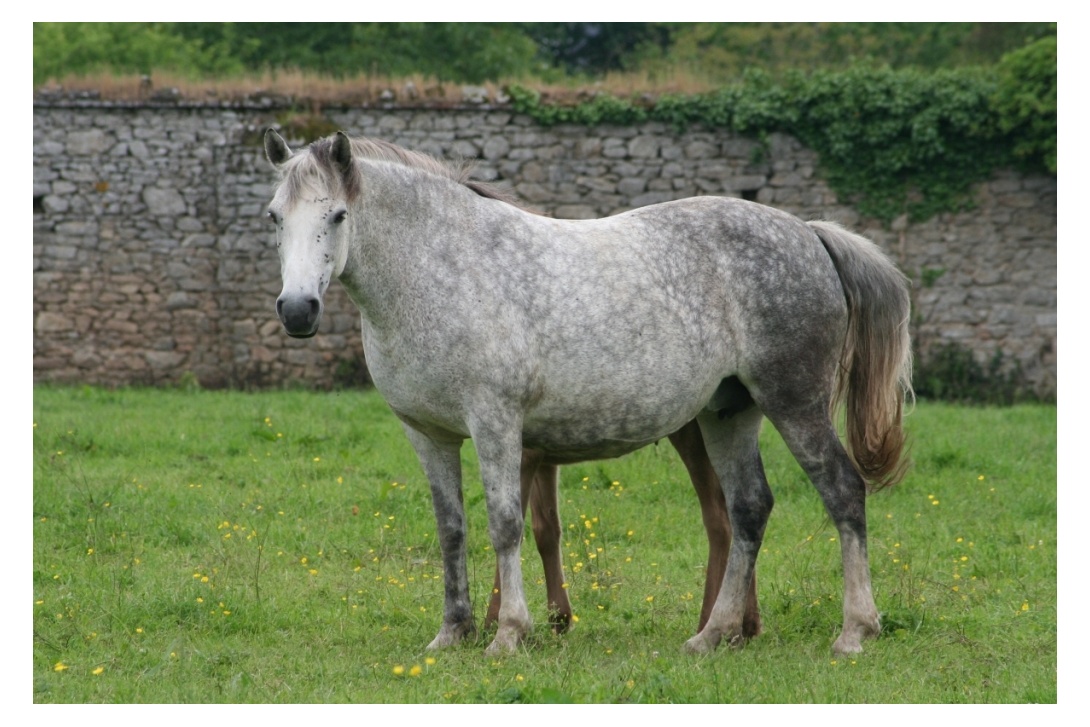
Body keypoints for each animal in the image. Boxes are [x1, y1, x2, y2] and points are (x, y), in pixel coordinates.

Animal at [263, 132, 911, 658]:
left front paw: (509, 633)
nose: (297, 310)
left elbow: (505, 523)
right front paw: (452, 633)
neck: (441, 271)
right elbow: (451, 529)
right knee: (749, 509)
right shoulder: (428, 434)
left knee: (841, 491)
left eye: (338, 214)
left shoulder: (496, 425)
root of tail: (809, 233)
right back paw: (713, 634)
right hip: (729, 413)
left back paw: (855, 630)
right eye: (274, 217)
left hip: (793, 404)